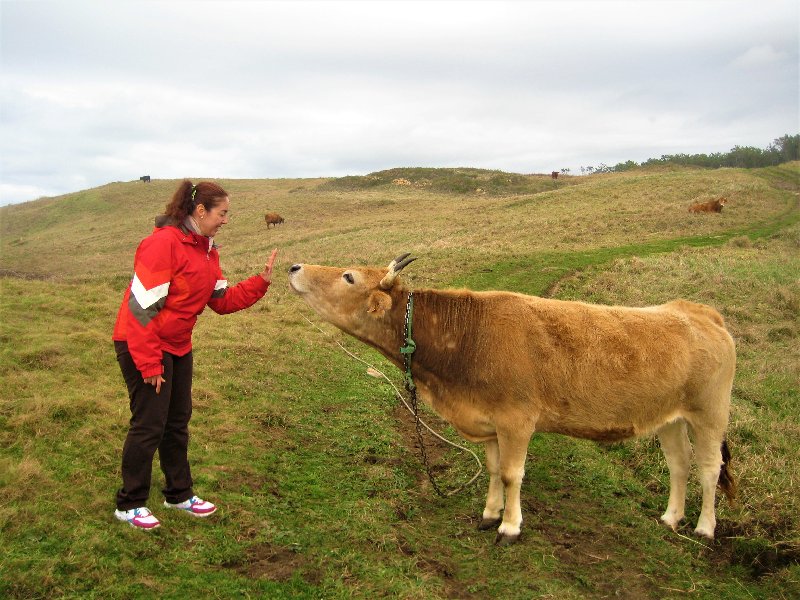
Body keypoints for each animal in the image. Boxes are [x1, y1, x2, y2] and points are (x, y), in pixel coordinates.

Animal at [288, 255, 736, 548]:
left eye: (347, 276)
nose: (294, 267)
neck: (465, 339)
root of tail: (698, 310)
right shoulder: (486, 420)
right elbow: (492, 468)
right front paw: (490, 514)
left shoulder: (516, 419)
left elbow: (511, 473)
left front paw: (510, 526)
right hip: (669, 418)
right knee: (679, 464)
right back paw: (671, 518)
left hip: (709, 413)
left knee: (708, 467)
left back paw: (704, 528)